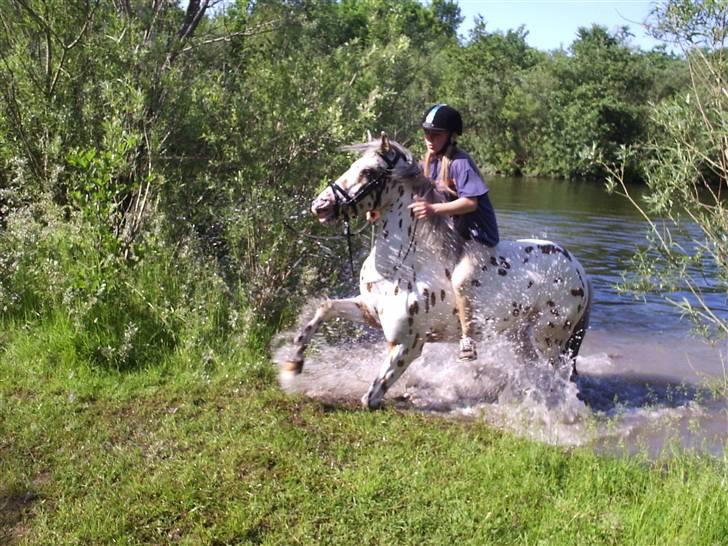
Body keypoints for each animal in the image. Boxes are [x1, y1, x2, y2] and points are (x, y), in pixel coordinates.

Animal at [282, 133, 596, 408]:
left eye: (369, 172)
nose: (320, 207)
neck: (401, 264)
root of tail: (577, 267)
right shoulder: (369, 310)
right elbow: (324, 308)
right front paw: (293, 364)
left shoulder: (407, 344)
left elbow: (369, 398)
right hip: (520, 336)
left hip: (549, 338)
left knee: (557, 376)